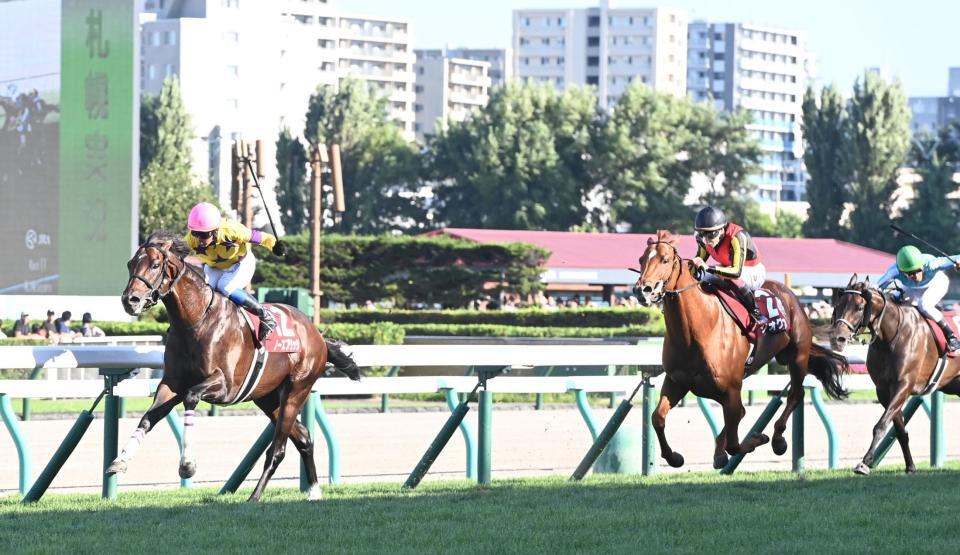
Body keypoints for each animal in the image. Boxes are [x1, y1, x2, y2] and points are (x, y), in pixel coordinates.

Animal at [111, 230, 360, 504]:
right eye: (130, 264)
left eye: (155, 265)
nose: (130, 300)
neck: (195, 321)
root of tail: (317, 334)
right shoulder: (172, 383)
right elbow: (149, 417)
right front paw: (120, 460)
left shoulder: (225, 386)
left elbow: (191, 397)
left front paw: (187, 465)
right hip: (267, 397)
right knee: (304, 438)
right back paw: (314, 491)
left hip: (297, 390)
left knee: (278, 449)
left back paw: (255, 497)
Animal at [636, 230, 848, 470]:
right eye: (641, 260)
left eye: (664, 259)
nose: (642, 290)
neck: (695, 332)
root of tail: (790, 294)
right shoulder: (676, 381)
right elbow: (657, 418)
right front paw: (675, 457)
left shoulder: (731, 389)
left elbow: (735, 444)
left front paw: (758, 438)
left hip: (797, 356)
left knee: (796, 394)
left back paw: (777, 440)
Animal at [824, 276, 960, 476]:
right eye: (838, 305)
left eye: (859, 307)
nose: (838, 338)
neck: (891, 336)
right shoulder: (883, 390)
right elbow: (899, 431)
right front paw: (910, 466)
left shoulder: (903, 386)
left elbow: (881, 425)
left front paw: (864, 463)